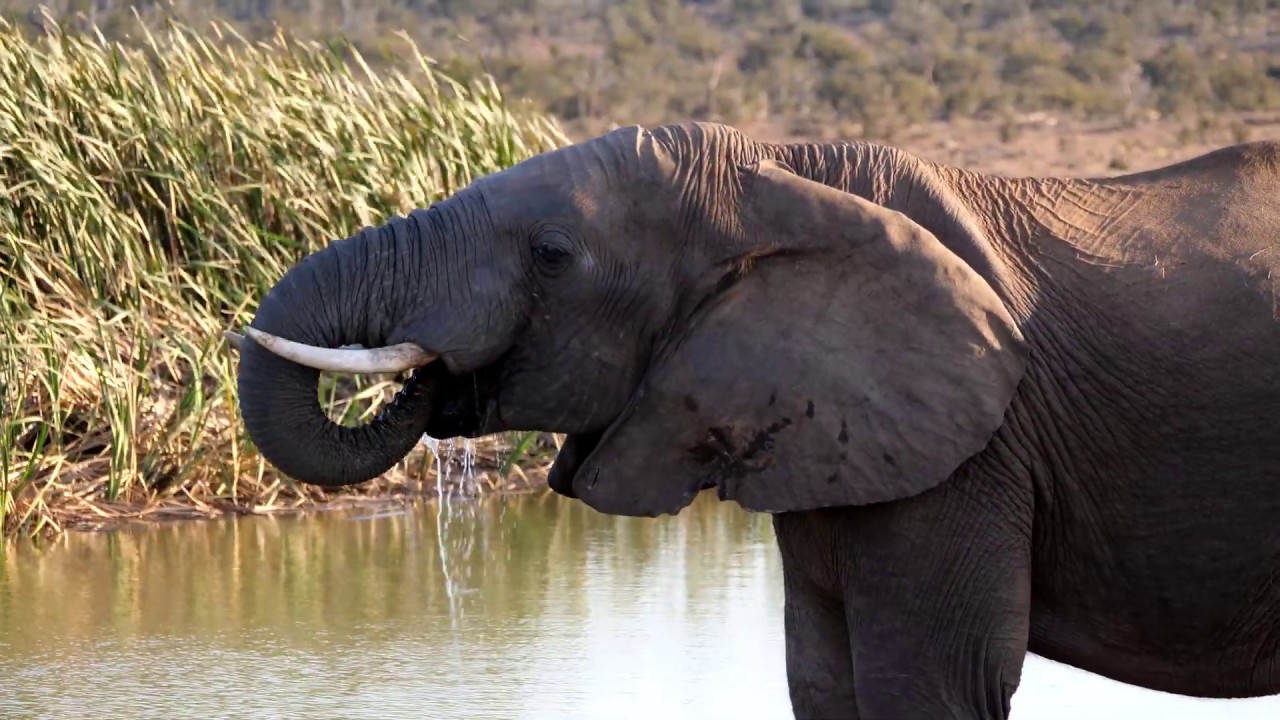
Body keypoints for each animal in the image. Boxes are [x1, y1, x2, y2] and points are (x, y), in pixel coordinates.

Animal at [226, 121, 1280, 719]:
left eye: (554, 255)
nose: (434, 375)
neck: (781, 171)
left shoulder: (976, 448)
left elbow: (930, 685)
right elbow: (822, 682)